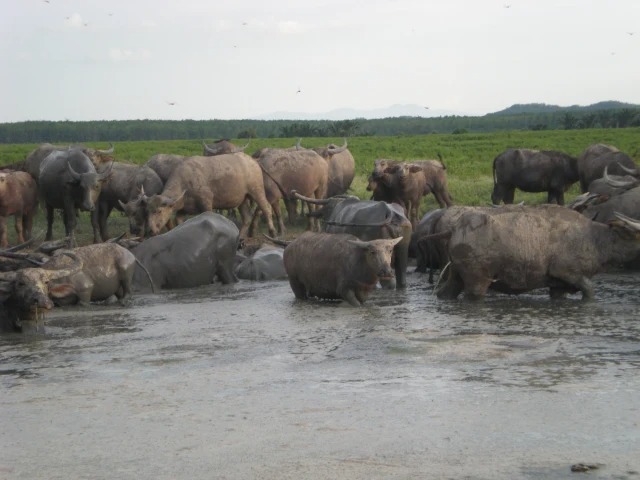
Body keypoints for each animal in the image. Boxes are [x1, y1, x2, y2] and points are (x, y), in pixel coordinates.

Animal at [436, 204, 640, 302]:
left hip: (456, 276)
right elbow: (590, 291)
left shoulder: (559, 286)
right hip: (477, 280)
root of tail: (454, 229)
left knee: (444, 293)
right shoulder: (569, 273)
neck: (595, 239)